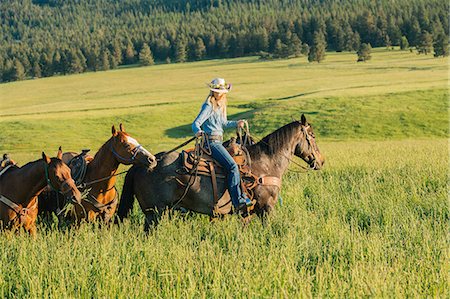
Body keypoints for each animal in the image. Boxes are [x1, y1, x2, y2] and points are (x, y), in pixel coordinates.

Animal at [118, 113, 326, 231]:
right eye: (313, 136)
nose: (321, 161)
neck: (267, 163)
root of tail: (141, 165)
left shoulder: (248, 213)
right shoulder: (266, 208)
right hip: (154, 214)